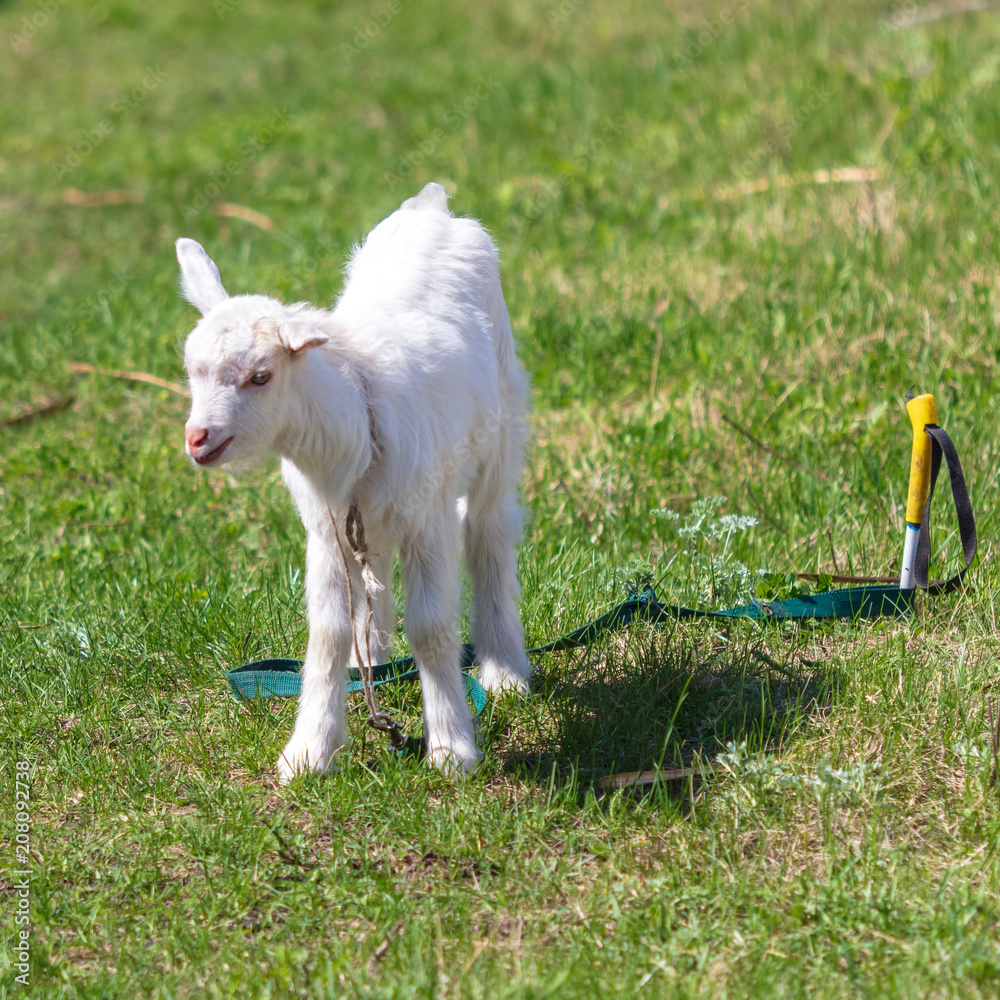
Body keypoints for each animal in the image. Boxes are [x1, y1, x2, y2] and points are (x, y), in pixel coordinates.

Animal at [177, 183, 530, 780]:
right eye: (192, 372)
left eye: (261, 376)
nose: (198, 439)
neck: (357, 423)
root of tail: (433, 206)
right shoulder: (327, 531)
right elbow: (328, 633)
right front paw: (309, 751)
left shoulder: (426, 522)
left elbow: (432, 629)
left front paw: (451, 749)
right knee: (377, 577)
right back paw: (377, 656)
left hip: (499, 423)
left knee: (487, 531)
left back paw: (504, 668)